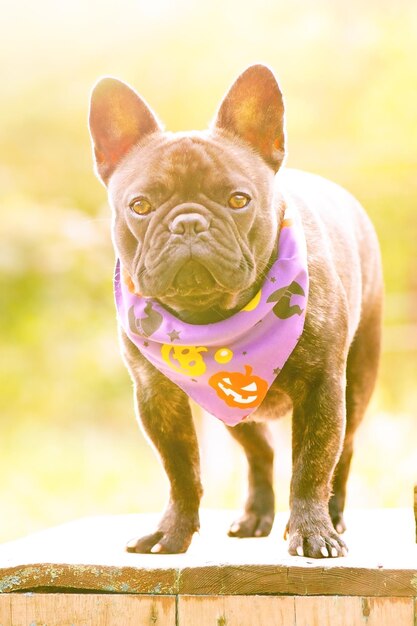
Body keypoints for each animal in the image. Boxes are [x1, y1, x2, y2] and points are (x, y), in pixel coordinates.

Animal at [89, 63, 382, 556]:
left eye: (238, 200)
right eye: (140, 206)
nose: (188, 223)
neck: (209, 317)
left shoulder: (324, 387)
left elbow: (312, 463)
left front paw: (312, 532)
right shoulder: (156, 395)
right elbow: (180, 468)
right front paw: (172, 532)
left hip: (357, 380)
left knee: (344, 451)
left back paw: (334, 516)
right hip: (231, 408)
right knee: (260, 451)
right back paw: (256, 515)